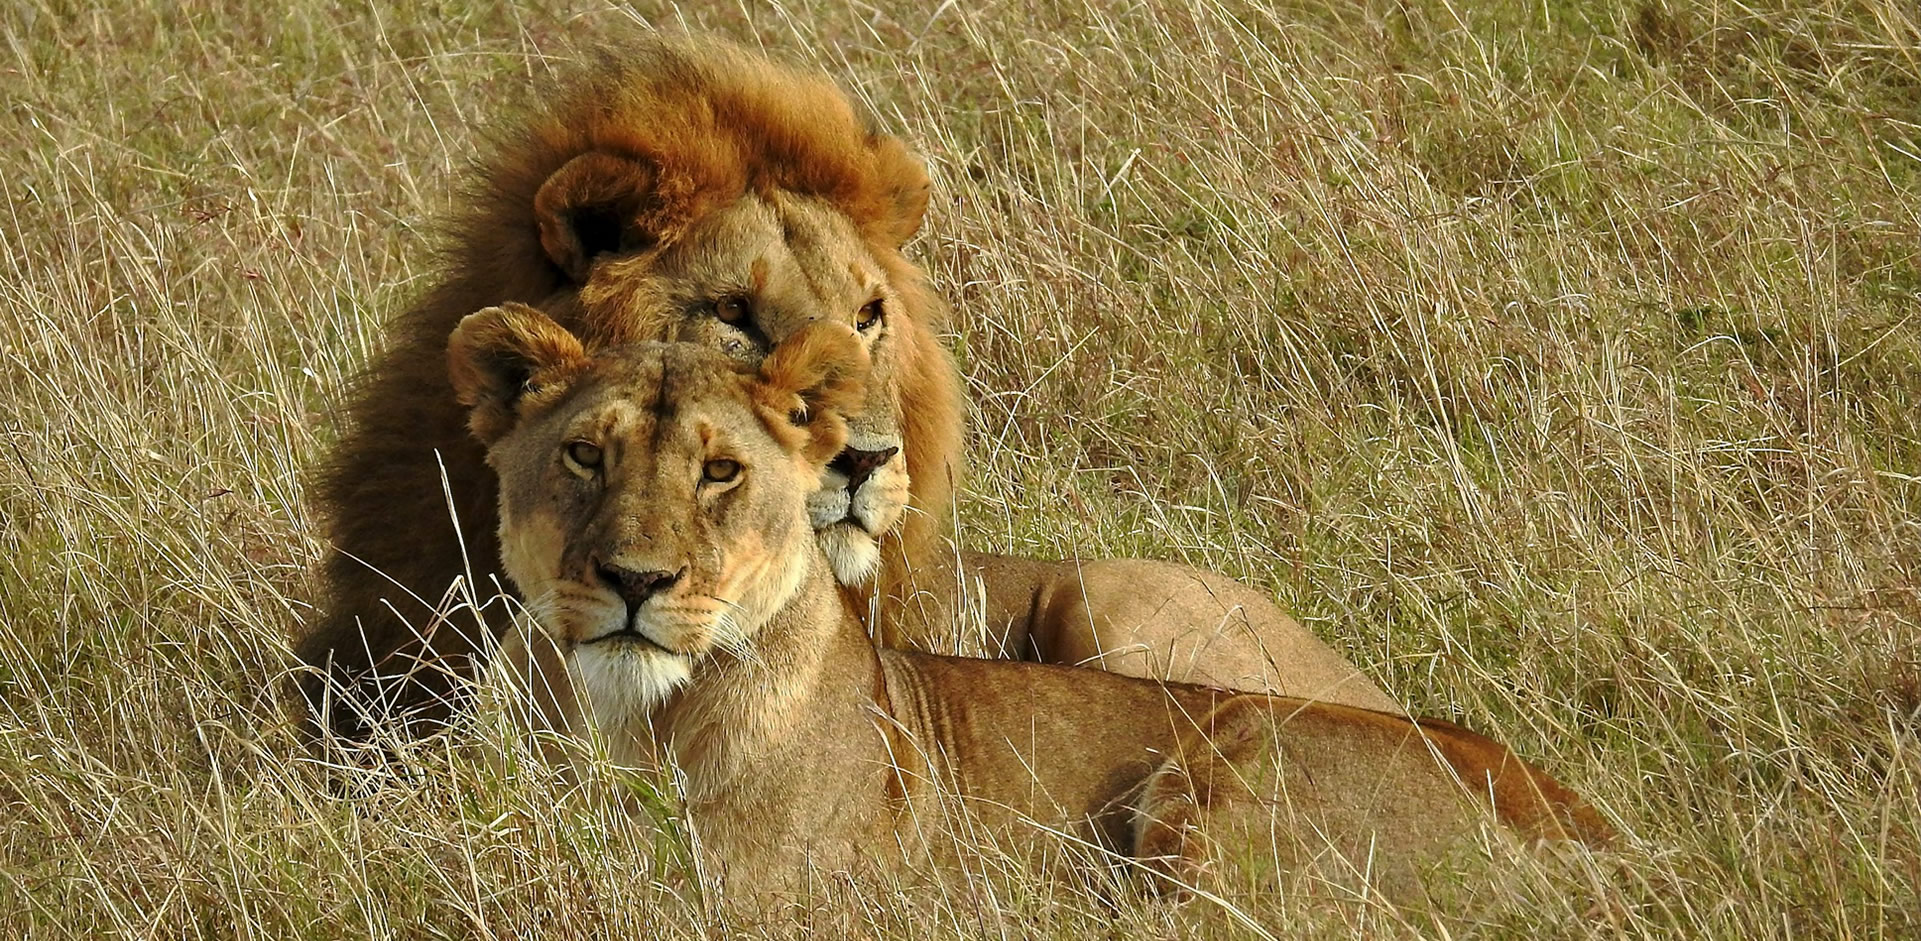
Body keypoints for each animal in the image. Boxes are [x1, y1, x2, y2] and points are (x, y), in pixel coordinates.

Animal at [451, 306, 1613, 908]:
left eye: (720, 471)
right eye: (584, 454)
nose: (635, 580)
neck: (627, 718)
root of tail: (1563, 813)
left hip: (1217, 750)